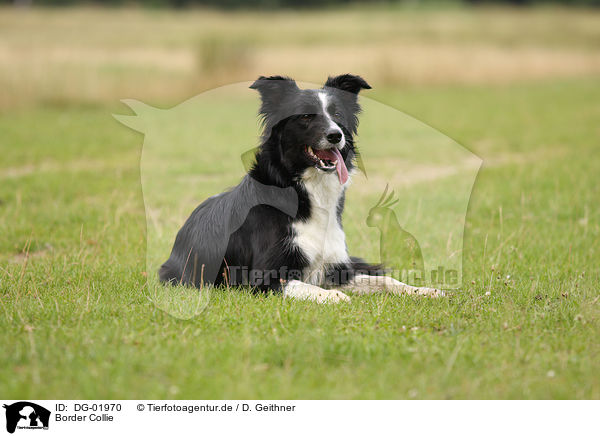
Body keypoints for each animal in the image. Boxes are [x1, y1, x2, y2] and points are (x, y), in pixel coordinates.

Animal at [159, 73, 440, 302]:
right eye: (306, 116)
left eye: (337, 114)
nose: (336, 135)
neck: (307, 190)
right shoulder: (263, 279)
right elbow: (308, 287)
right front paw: (336, 297)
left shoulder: (336, 269)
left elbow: (385, 280)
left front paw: (422, 290)